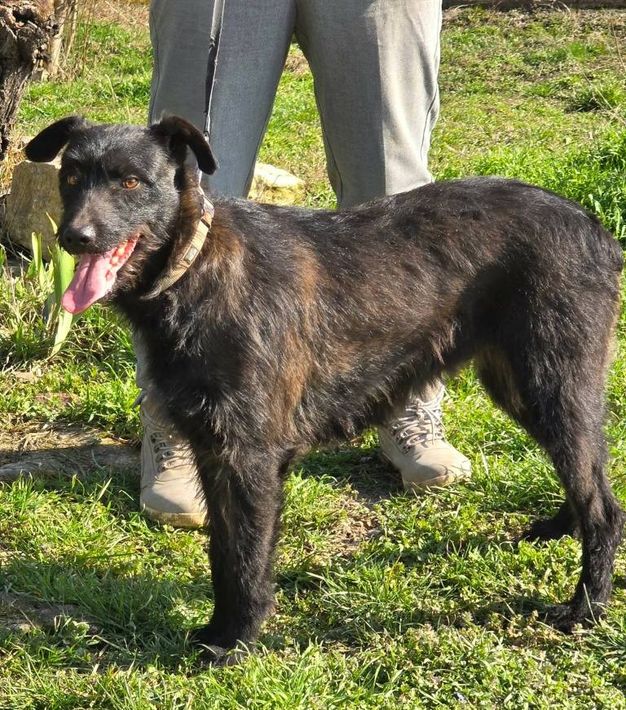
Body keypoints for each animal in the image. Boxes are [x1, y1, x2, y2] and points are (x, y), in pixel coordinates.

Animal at [25, 115, 624, 664]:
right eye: (71, 176)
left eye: (130, 181)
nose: (73, 238)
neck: (195, 271)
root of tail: (595, 229)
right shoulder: (214, 451)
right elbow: (223, 551)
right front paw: (223, 629)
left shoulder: (248, 456)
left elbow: (244, 557)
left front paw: (234, 640)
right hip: (524, 387)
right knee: (586, 476)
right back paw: (561, 530)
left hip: (554, 383)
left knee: (602, 502)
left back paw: (587, 607)